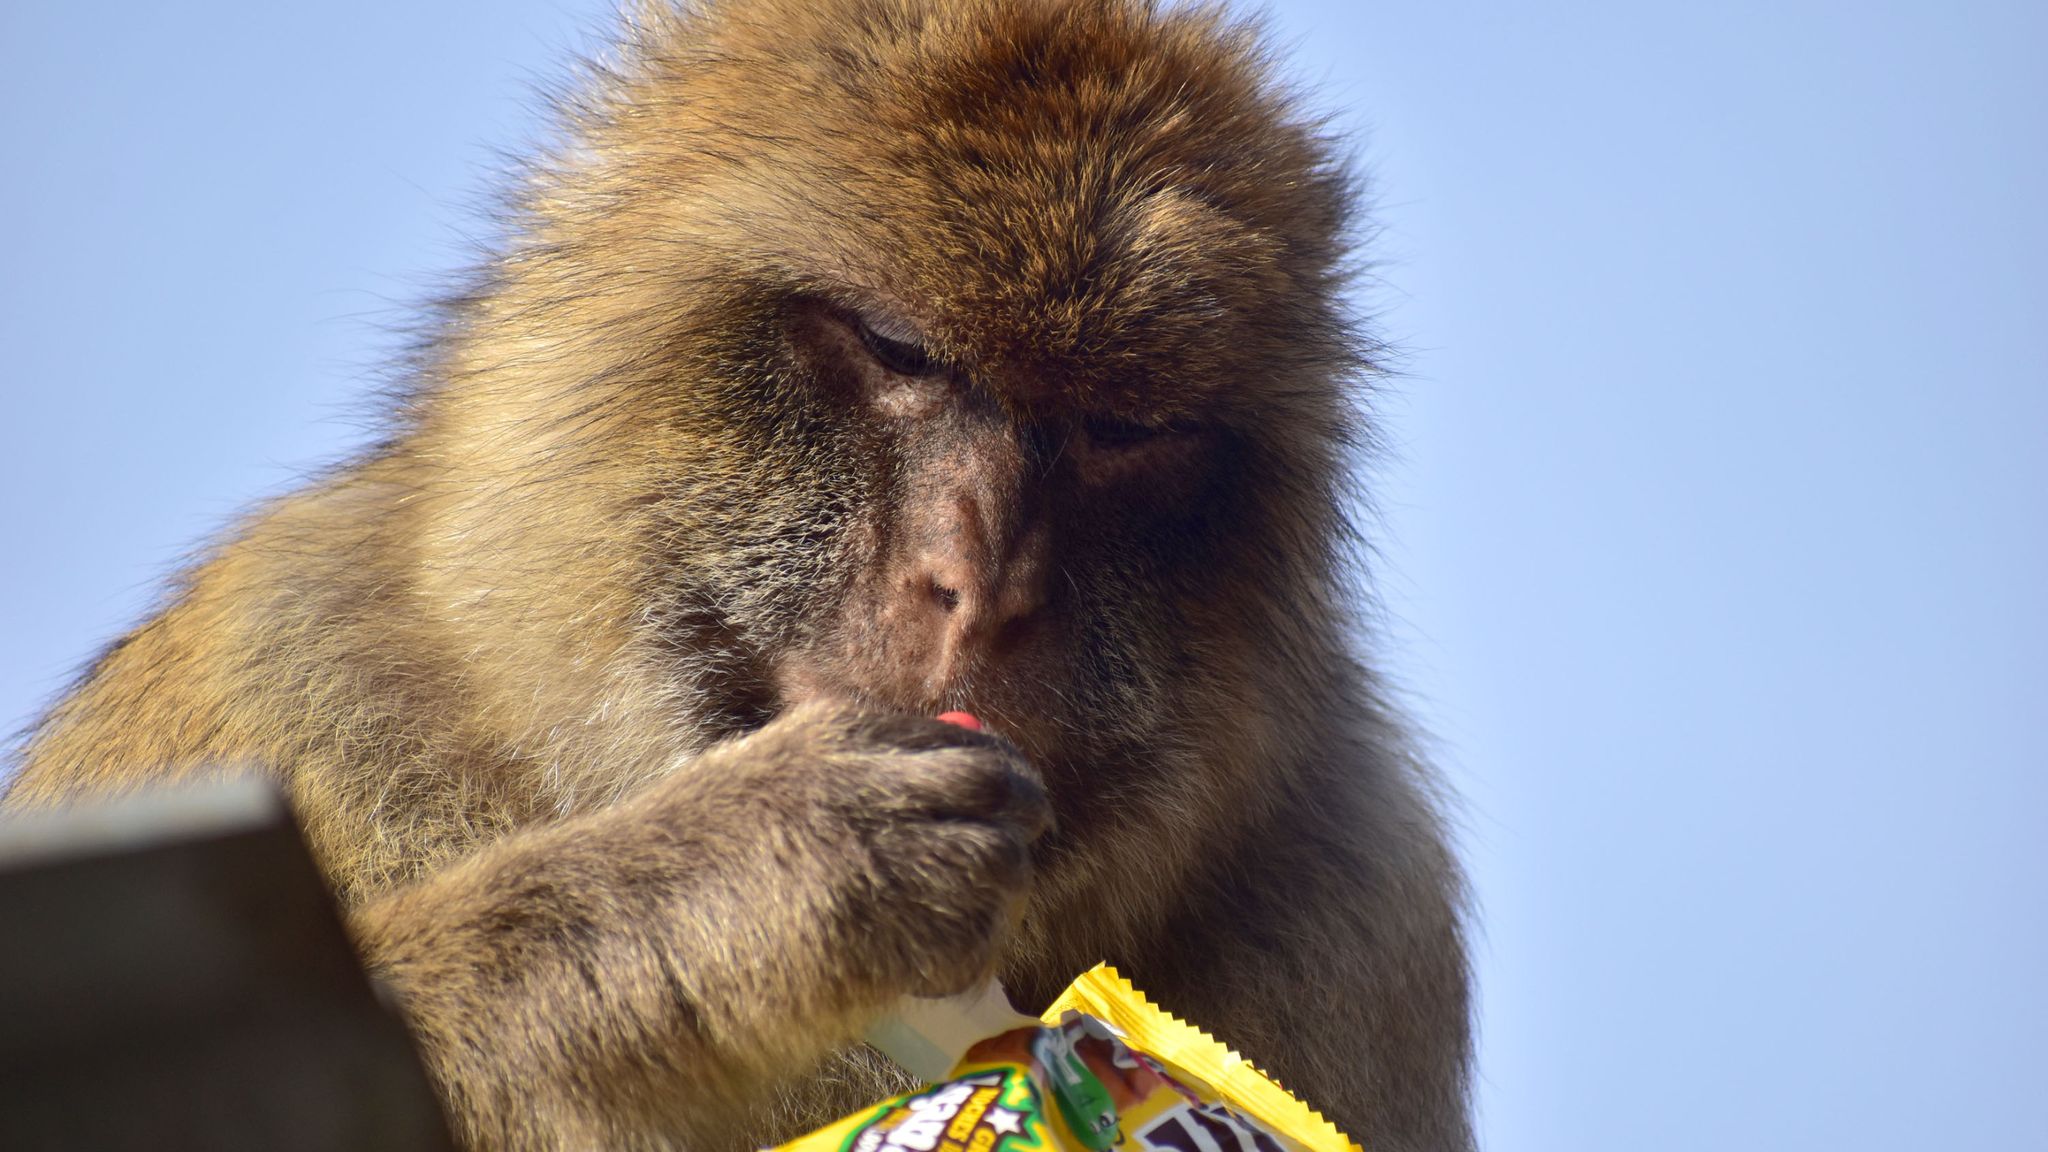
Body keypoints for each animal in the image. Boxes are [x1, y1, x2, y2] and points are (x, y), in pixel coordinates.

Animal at [2, 1, 1473, 1149]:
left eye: (1124, 429)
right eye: (896, 349)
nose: (977, 588)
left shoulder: (1362, 898)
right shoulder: (278, 670)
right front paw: (732, 875)